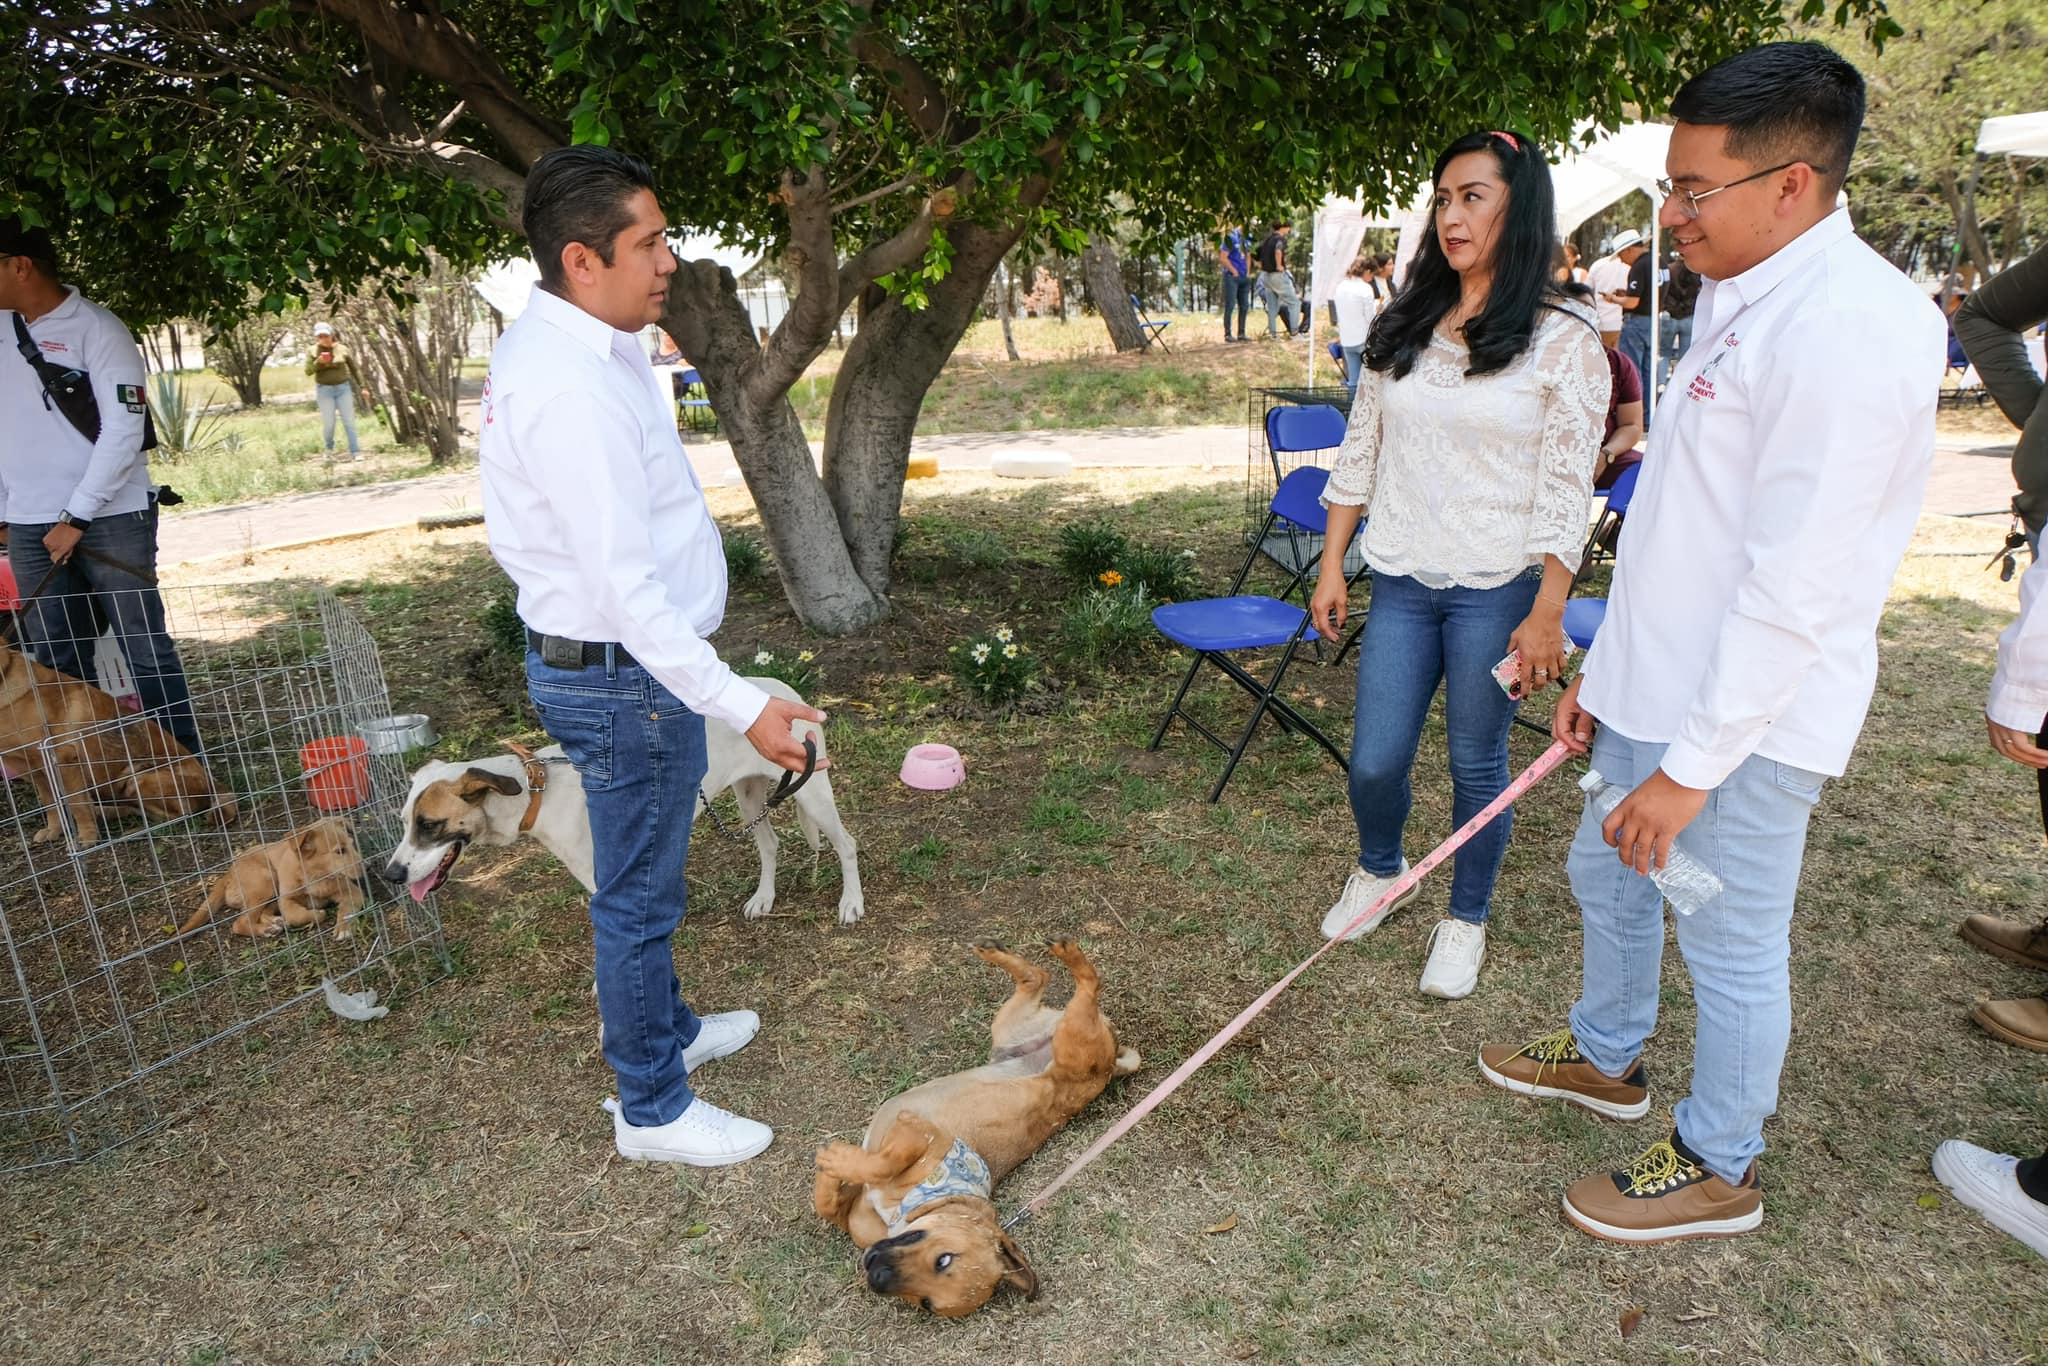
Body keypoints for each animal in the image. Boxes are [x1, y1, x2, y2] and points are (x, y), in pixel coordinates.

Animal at [0, 638, 239, 843]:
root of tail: (210, 782)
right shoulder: (36, 773)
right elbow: (51, 804)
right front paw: (55, 830)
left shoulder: (63, 760)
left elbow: (78, 804)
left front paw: (87, 838)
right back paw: (105, 813)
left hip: (139, 776)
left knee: (175, 816)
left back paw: (133, 831)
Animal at [181, 819, 372, 946]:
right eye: (339, 851)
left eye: (353, 844)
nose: (368, 867)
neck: (316, 875)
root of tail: (228, 873)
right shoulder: (285, 899)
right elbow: (298, 915)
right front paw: (317, 914)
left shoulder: (352, 891)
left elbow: (346, 908)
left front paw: (343, 928)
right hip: (266, 882)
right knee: (239, 923)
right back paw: (267, 929)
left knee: (261, 914)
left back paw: (276, 923)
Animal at [382, 675, 864, 925]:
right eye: (404, 820)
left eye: (429, 824)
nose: (390, 875)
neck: (538, 788)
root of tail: (782, 689)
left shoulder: (607, 883)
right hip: (749, 796)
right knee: (769, 845)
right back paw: (764, 898)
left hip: (815, 793)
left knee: (846, 844)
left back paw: (851, 902)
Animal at [811, 946, 1138, 1318]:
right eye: (944, 1259)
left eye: (926, 1302)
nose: (877, 1277)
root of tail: (1113, 1062)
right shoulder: (924, 1136)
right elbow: (837, 1196)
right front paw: (834, 1163)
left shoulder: (914, 1130)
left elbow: (865, 1175)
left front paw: (835, 1161)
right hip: (1049, 1036)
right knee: (1062, 979)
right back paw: (1039, 951)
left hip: (1059, 1034)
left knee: (1055, 980)